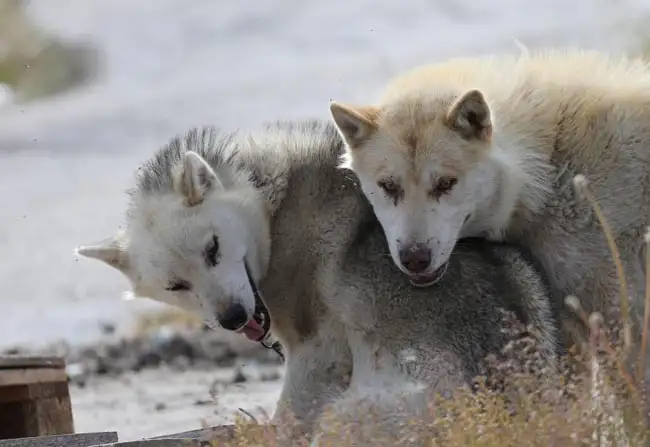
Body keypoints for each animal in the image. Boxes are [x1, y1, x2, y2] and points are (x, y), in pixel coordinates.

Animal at [77, 121, 556, 444]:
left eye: (213, 249)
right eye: (175, 286)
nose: (232, 317)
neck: (273, 205)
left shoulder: (318, 350)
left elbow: (289, 414)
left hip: (345, 417)